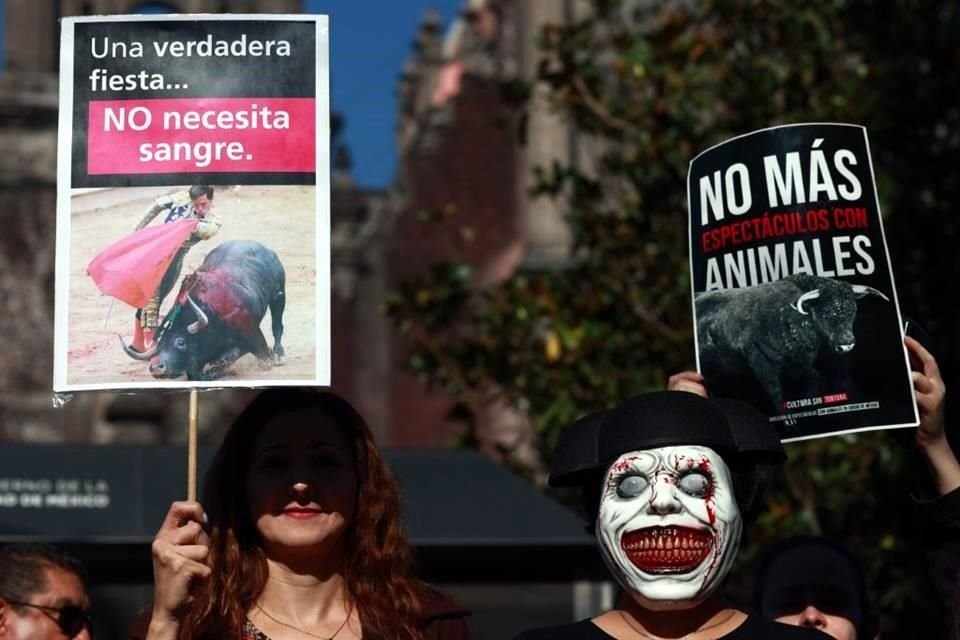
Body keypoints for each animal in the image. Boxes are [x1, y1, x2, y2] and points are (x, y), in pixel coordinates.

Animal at [122, 240, 284, 380]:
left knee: (277, 325)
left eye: (180, 342)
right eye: (158, 343)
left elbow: (259, 355)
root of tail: (265, 249)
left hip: (279, 296)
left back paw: (279, 355)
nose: (156, 367)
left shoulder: (252, 333)